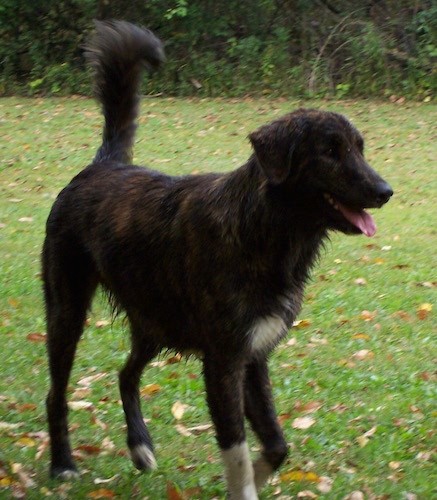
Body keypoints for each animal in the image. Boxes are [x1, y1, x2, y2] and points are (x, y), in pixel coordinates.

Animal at [43, 19, 392, 500]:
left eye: (360, 148)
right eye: (329, 151)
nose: (385, 191)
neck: (263, 229)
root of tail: (104, 164)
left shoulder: (255, 354)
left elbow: (277, 443)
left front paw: (261, 475)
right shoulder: (224, 361)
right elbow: (236, 445)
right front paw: (245, 484)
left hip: (155, 323)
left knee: (125, 374)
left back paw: (140, 447)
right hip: (68, 311)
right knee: (56, 393)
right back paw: (62, 464)